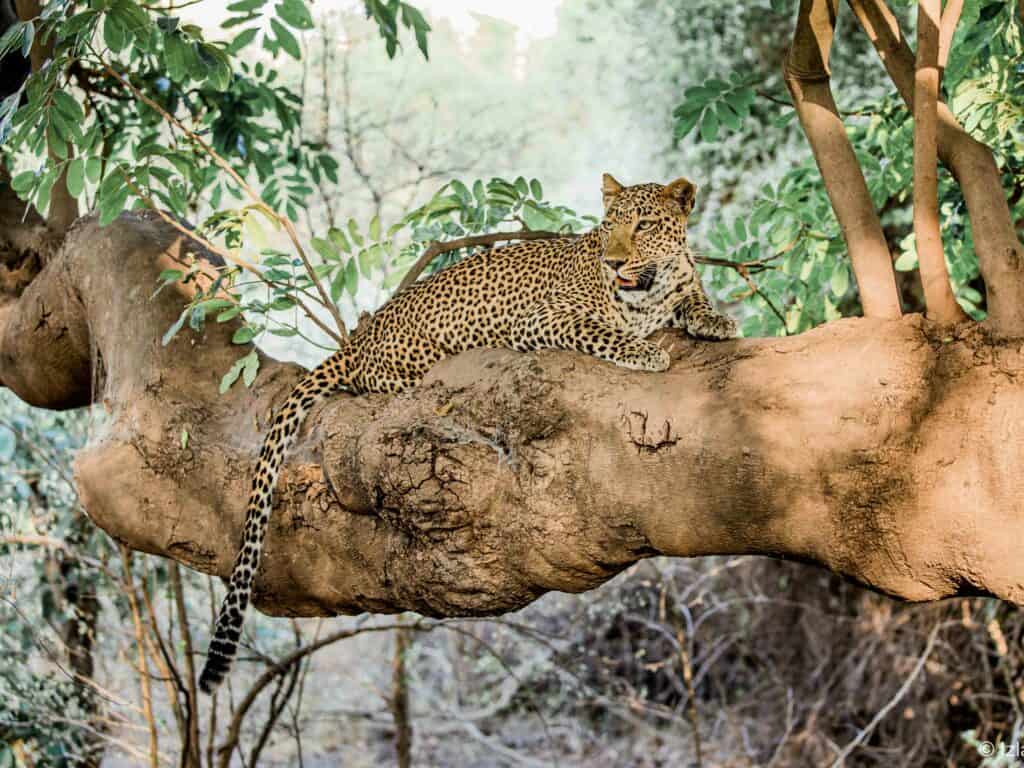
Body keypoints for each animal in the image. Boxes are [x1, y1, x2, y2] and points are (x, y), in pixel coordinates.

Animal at [197, 176, 737, 696]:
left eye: (644, 225)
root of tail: (359, 338)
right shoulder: (546, 318)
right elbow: (606, 332)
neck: (651, 289)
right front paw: (647, 351)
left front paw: (716, 318)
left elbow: (694, 297)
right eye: (610, 226)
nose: (615, 260)